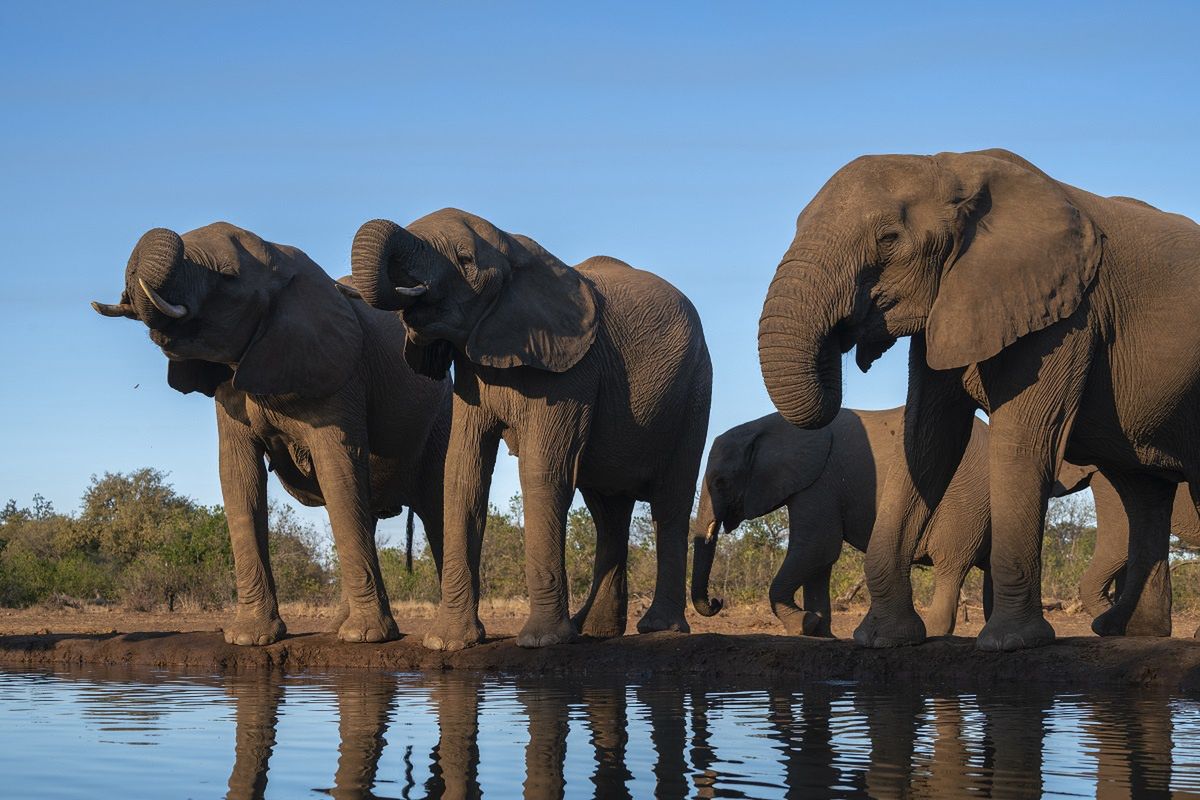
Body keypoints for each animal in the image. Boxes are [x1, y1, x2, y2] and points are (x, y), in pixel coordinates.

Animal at [92, 220, 451, 642]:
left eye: (227, 277)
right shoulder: (229, 388)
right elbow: (238, 477)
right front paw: (250, 638)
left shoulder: (339, 376)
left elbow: (338, 469)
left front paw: (366, 638)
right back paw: (336, 628)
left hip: (442, 415)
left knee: (436, 507)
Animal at [350, 208, 710, 652]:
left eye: (465, 260)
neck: (514, 248)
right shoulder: (471, 373)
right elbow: (463, 473)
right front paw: (446, 643)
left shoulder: (571, 371)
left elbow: (543, 472)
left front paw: (541, 642)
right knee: (608, 513)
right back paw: (594, 630)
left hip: (695, 390)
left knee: (670, 502)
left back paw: (658, 629)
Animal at [691, 407, 1008, 638]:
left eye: (721, 482)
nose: (717, 601)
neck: (768, 425)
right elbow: (820, 561)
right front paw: (819, 631)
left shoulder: (819, 481)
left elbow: (818, 548)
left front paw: (803, 625)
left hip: (966, 502)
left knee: (950, 565)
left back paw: (930, 634)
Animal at [758, 148, 1200, 652]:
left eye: (889, 239)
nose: (849, 340)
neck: (952, 168)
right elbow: (926, 439)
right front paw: (883, 639)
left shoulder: (1067, 314)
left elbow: (1023, 439)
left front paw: (1011, 643)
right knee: (1142, 492)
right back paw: (1131, 631)